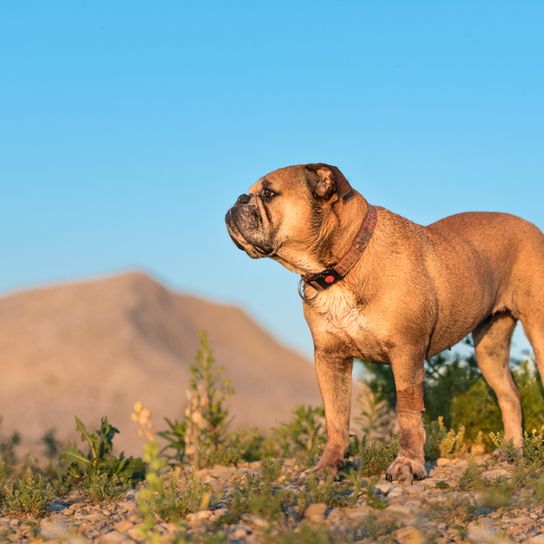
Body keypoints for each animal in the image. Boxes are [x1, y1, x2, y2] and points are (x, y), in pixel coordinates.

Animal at [224, 164, 544, 482]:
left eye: (268, 193)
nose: (239, 199)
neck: (344, 264)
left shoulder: (406, 353)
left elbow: (408, 415)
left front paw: (408, 464)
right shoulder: (330, 359)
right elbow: (335, 418)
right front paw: (327, 468)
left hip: (537, 332)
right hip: (489, 350)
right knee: (509, 394)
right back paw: (512, 450)